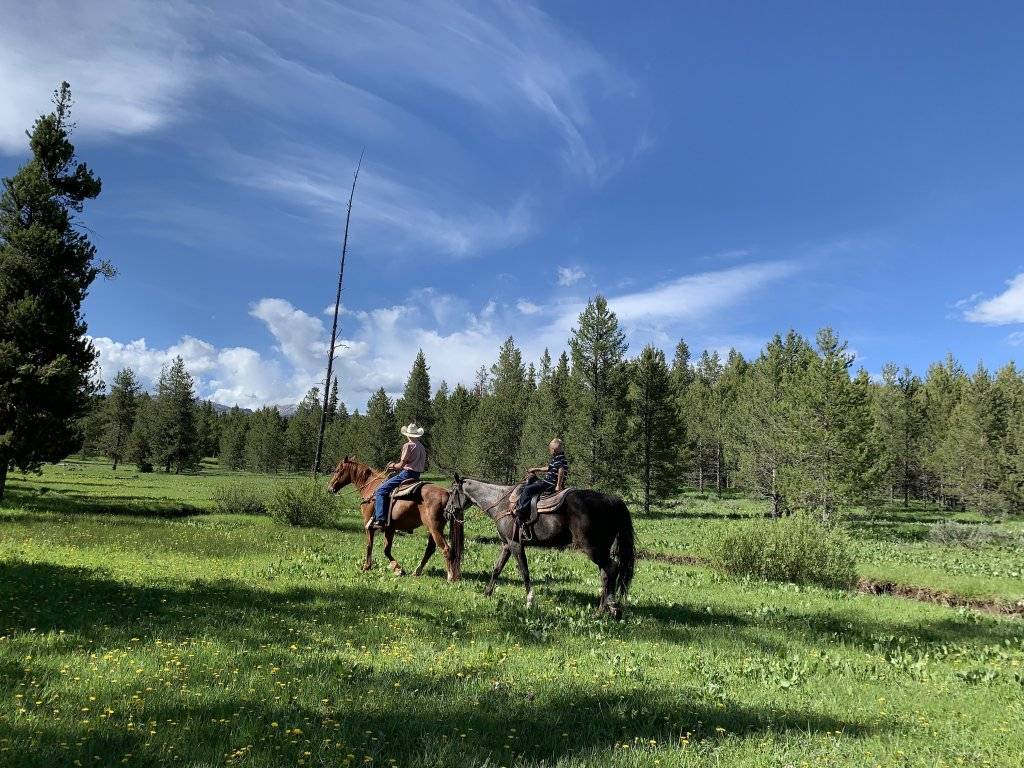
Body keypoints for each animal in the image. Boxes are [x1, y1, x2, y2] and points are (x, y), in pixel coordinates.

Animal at [327, 460, 464, 581]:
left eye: (337, 470)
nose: (330, 488)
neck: (371, 487)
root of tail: (447, 493)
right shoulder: (390, 528)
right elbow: (386, 549)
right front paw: (398, 569)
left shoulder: (369, 525)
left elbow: (370, 545)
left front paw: (368, 567)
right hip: (433, 529)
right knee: (430, 549)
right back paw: (417, 571)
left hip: (435, 528)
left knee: (446, 549)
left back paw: (450, 576)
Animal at [446, 475, 630, 618]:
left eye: (453, 492)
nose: (447, 512)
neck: (501, 503)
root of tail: (611, 500)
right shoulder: (506, 544)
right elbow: (497, 569)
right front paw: (486, 593)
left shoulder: (515, 544)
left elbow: (524, 571)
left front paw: (529, 600)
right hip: (601, 549)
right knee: (605, 574)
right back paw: (600, 611)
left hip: (592, 549)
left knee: (611, 568)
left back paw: (613, 607)